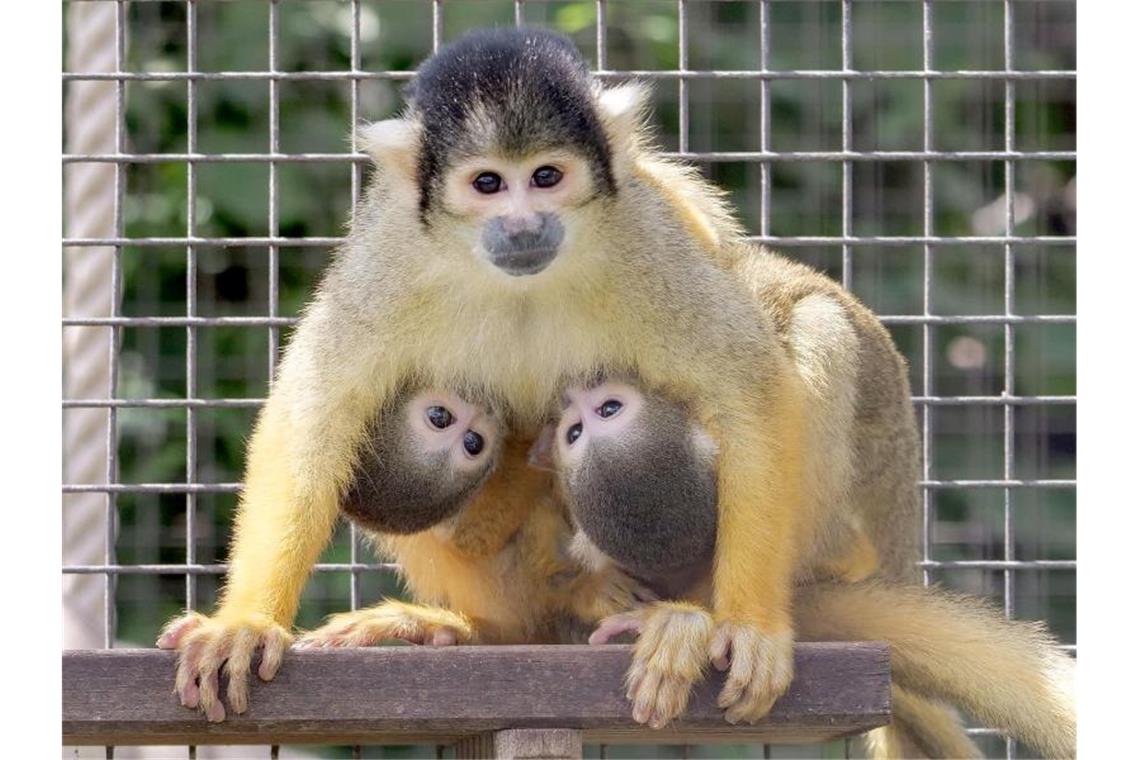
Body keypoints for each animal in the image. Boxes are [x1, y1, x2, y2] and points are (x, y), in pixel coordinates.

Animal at [160, 26, 802, 729]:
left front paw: (750, 627)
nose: (522, 225)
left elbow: (747, 389)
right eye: (488, 183)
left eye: (546, 176)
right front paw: (245, 623)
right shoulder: (391, 252)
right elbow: (317, 413)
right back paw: (479, 627)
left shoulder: (644, 237)